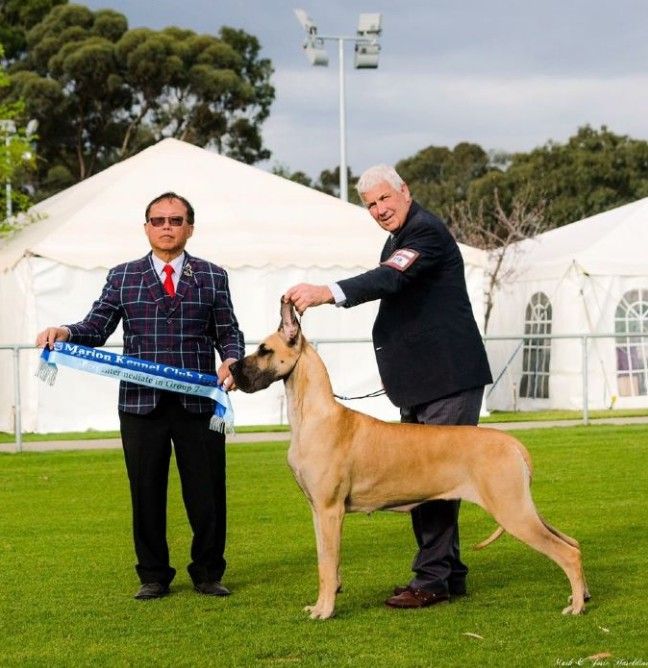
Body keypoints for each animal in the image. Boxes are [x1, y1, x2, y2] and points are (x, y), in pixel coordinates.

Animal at [230, 301, 589, 620]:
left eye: (264, 350)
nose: (231, 367)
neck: (313, 415)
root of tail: (513, 442)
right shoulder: (318, 511)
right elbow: (326, 562)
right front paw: (322, 603)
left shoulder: (330, 510)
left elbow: (327, 567)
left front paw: (325, 611)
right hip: (521, 507)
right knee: (571, 542)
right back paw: (581, 595)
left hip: (512, 510)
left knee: (566, 552)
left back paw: (576, 606)